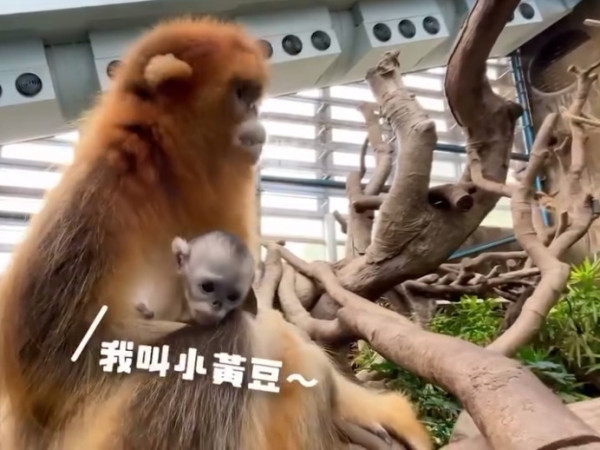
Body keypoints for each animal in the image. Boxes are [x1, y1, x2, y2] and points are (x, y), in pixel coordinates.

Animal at [0, 15, 434, 448]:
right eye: (242, 95)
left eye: (255, 97)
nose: (258, 121)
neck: (163, 172)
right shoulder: (98, 196)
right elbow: (54, 367)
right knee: (224, 338)